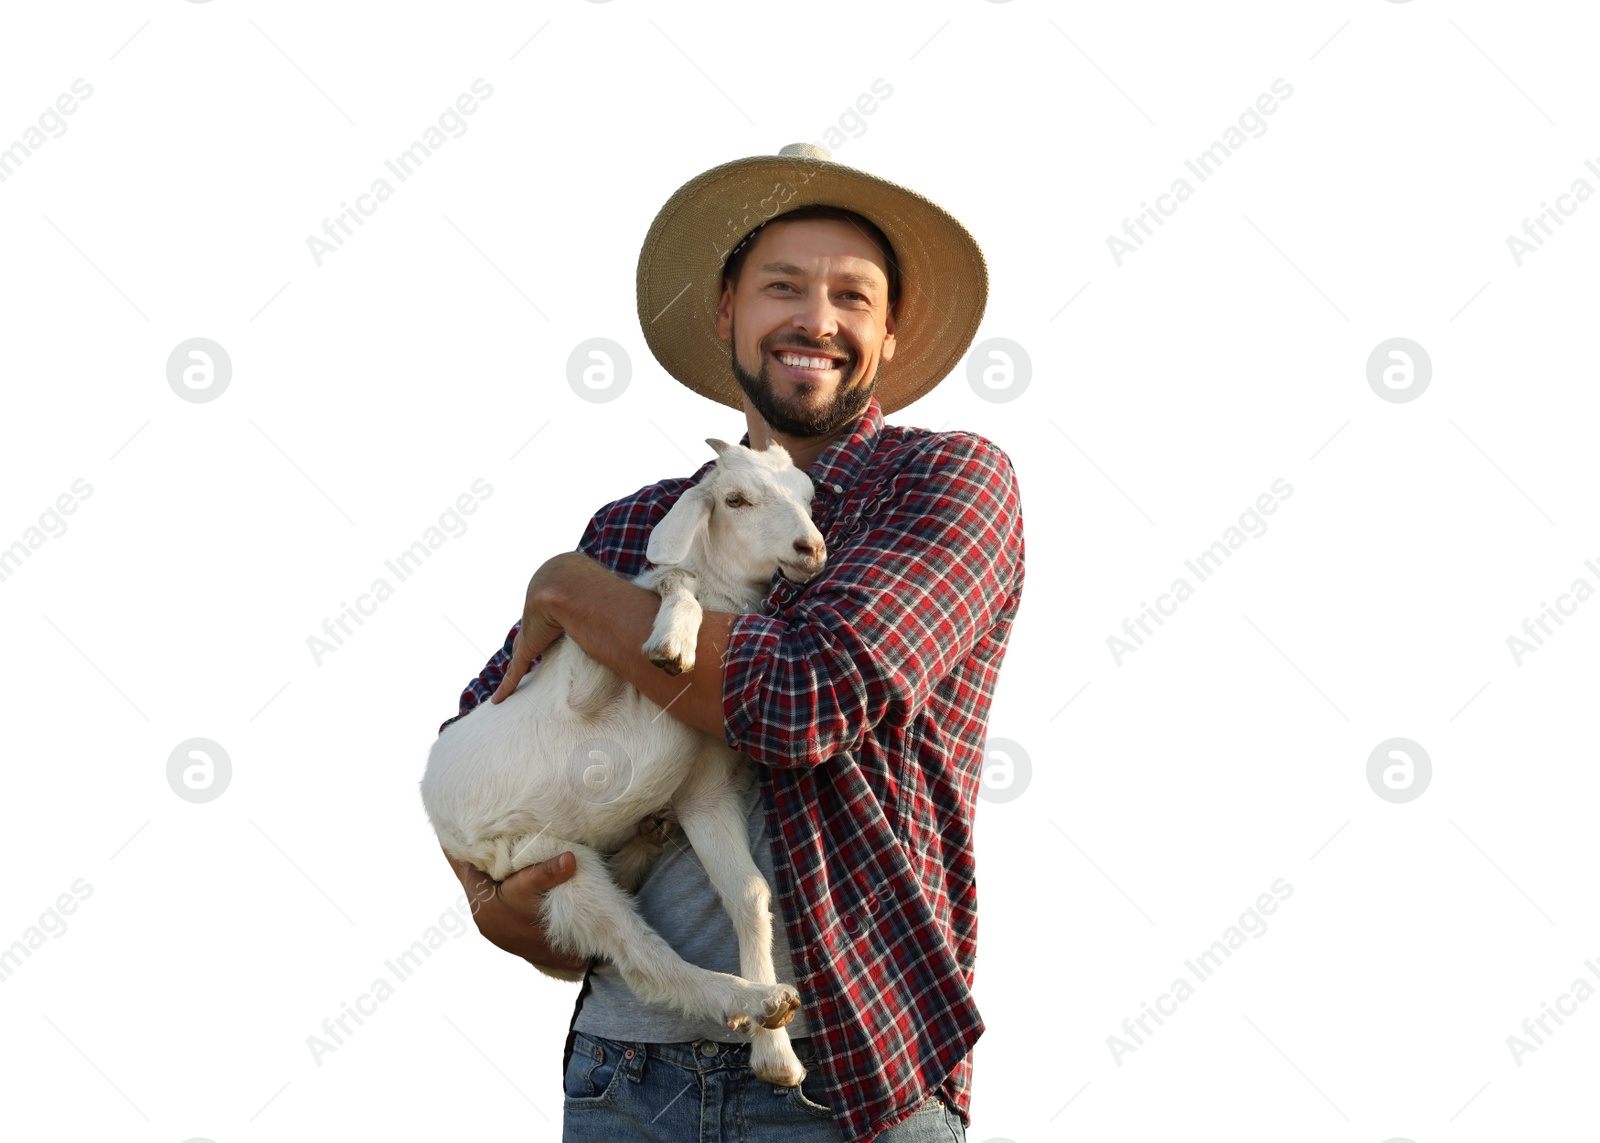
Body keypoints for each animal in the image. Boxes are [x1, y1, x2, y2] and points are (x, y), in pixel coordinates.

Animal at [419, 435, 832, 1088]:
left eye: (809, 495)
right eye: (735, 500)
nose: (810, 549)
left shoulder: (705, 791)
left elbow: (749, 894)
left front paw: (776, 1057)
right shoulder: (581, 680)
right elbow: (671, 578)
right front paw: (671, 644)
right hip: (550, 862)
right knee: (639, 955)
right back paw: (753, 999)